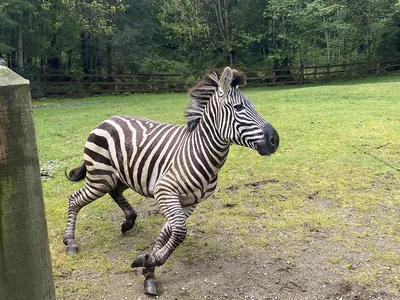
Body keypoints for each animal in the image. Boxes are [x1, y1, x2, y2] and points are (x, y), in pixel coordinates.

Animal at [64, 66, 280, 296]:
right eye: (238, 107)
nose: (275, 140)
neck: (200, 151)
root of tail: (106, 121)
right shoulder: (165, 191)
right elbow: (179, 231)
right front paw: (149, 262)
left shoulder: (190, 202)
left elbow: (170, 231)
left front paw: (149, 267)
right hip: (100, 177)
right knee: (75, 199)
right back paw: (71, 242)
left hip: (122, 175)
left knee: (114, 192)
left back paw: (128, 222)